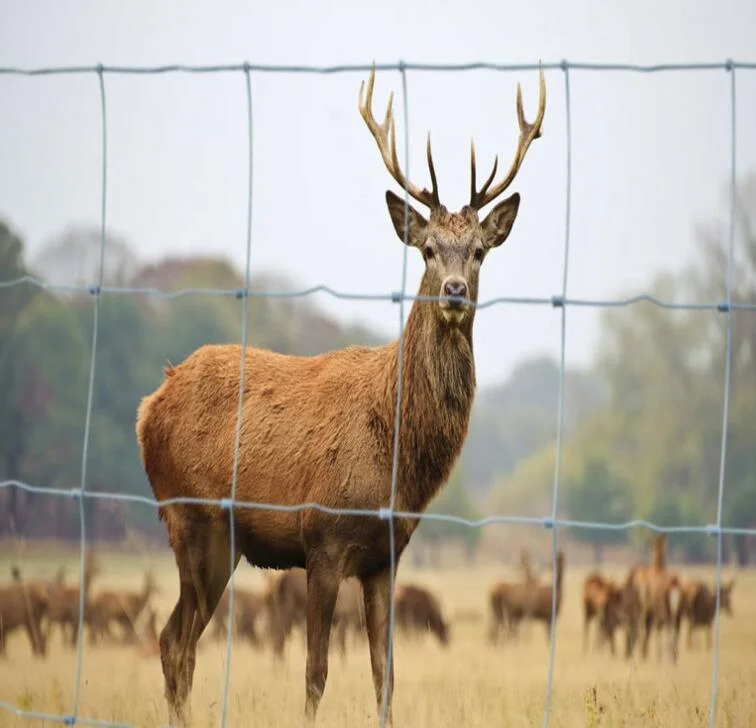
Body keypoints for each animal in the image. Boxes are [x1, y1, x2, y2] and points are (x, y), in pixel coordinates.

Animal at [136, 65, 548, 724]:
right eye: (427, 250)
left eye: (479, 251)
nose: (455, 290)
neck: (398, 460)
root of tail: (150, 406)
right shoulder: (323, 538)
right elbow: (315, 673)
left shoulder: (386, 555)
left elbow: (385, 675)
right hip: (191, 517)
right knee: (175, 640)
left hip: (218, 539)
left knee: (179, 641)